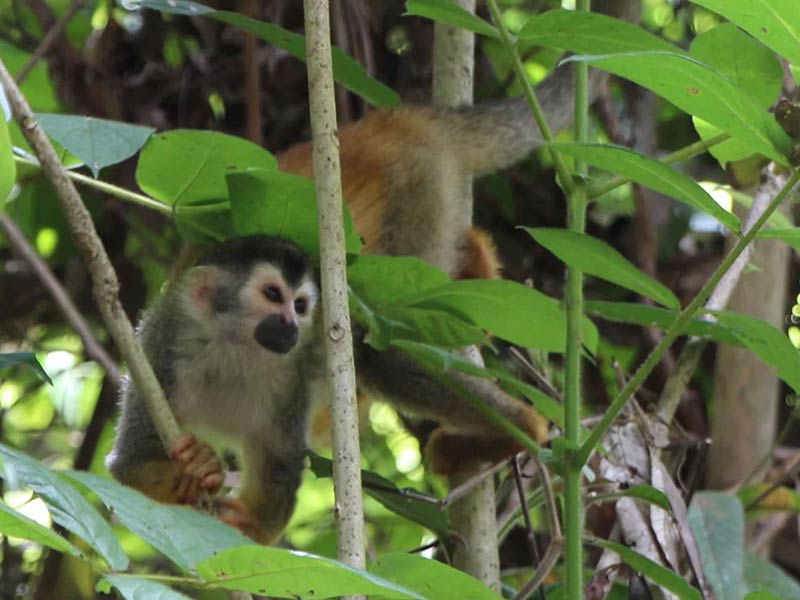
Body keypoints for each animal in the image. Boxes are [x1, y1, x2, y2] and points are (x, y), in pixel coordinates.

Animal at [106, 236, 548, 544]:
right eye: (272, 295)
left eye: (300, 305)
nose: (290, 324)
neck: (235, 351)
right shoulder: (160, 356)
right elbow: (127, 467)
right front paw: (194, 466)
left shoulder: (291, 377)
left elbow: (280, 458)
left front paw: (254, 525)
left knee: (377, 361)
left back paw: (519, 428)